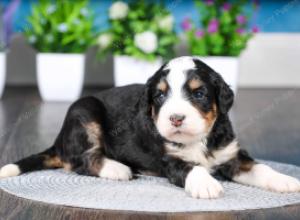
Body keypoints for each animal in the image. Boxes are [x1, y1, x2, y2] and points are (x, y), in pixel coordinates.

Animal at [0, 55, 300, 199]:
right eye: (160, 96)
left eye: (199, 93)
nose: (175, 118)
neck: (200, 139)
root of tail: (59, 140)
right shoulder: (170, 160)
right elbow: (192, 168)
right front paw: (206, 185)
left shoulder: (231, 154)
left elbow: (260, 168)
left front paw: (285, 180)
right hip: (84, 110)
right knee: (78, 160)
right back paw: (118, 169)